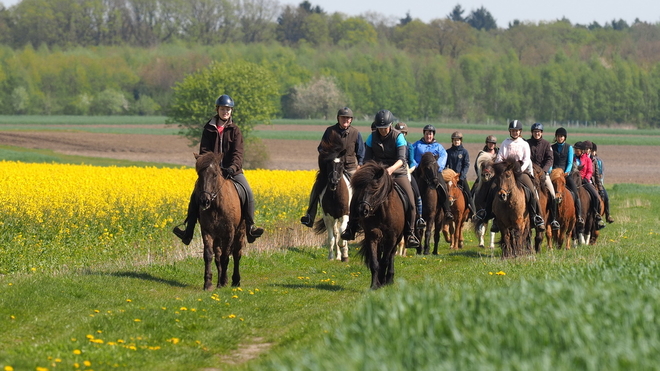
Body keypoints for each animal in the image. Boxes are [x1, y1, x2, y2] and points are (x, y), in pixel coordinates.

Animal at [196, 151, 248, 290]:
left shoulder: (229, 232)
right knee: (218, 256)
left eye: (214, 175)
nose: (204, 201)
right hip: (218, 237)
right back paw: (219, 282)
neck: (216, 206)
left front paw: (224, 281)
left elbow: (226, 256)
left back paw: (235, 281)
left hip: (240, 232)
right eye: (199, 174)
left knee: (236, 254)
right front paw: (208, 283)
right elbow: (208, 255)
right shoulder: (207, 231)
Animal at [314, 130, 354, 262]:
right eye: (329, 163)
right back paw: (338, 255)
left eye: (341, 163)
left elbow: (343, 231)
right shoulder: (328, 216)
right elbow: (331, 238)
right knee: (336, 233)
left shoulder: (345, 214)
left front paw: (344, 251)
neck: (335, 195)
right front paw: (331, 257)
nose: (333, 182)